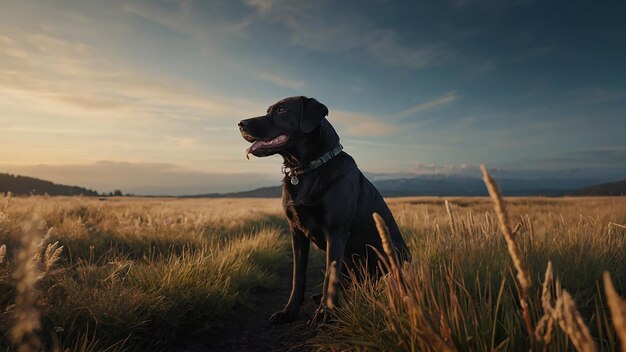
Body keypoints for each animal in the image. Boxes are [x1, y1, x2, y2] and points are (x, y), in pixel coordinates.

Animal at [239, 96, 410, 324]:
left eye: (282, 110)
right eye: (268, 111)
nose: (240, 124)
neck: (307, 169)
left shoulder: (335, 231)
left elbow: (330, 274)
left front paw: (324, 314)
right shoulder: (296, 232)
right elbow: (298, 276)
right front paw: (289, 312)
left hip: (391, 255)